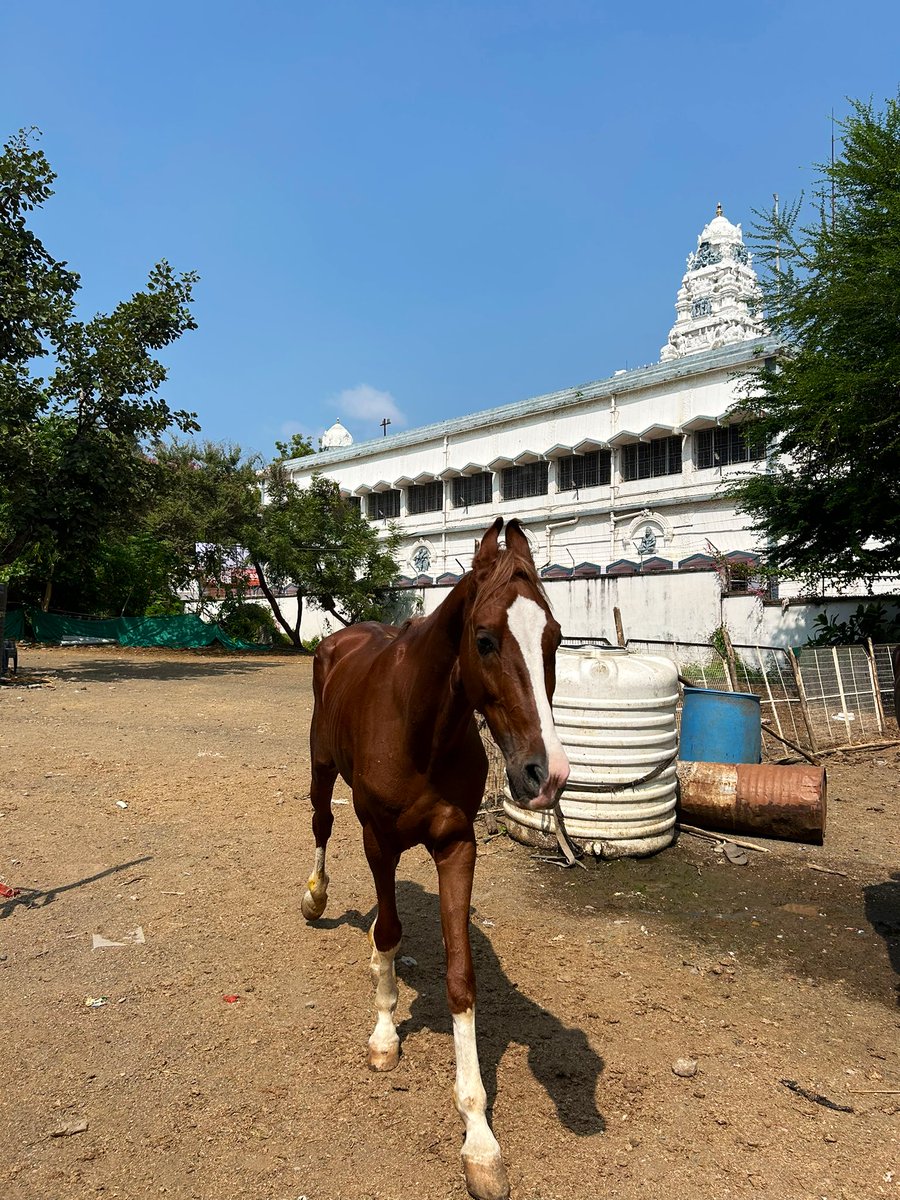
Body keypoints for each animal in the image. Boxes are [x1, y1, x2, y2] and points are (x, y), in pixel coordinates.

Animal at [301, 516, 570, 1200]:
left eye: (553, 638)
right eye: (485, 640)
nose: (547, 774)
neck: (419, 722)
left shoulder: (457, 846)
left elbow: (460, 977)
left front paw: (479, 1137)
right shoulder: (379, 839)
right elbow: (390, 932)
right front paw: (384, 1034)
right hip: (321, 766)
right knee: (321, 824)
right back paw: (315, 896)